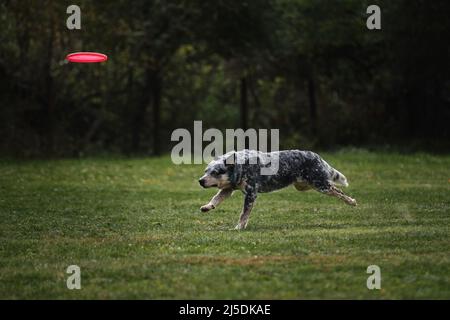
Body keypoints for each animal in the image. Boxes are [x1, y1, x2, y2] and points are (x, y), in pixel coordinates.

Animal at [199, 150, 356, 230]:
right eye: (206, 171)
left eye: (215, 172)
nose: (200, 180)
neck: (241, 165)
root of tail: (317, 156)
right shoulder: (229, 188)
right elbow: (216, 199)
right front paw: (207, 207)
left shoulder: (251, 194)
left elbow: (244, 214)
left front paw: (239, 227)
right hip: (304, 185)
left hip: (320, 185)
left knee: (338, 191)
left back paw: (352, 202)